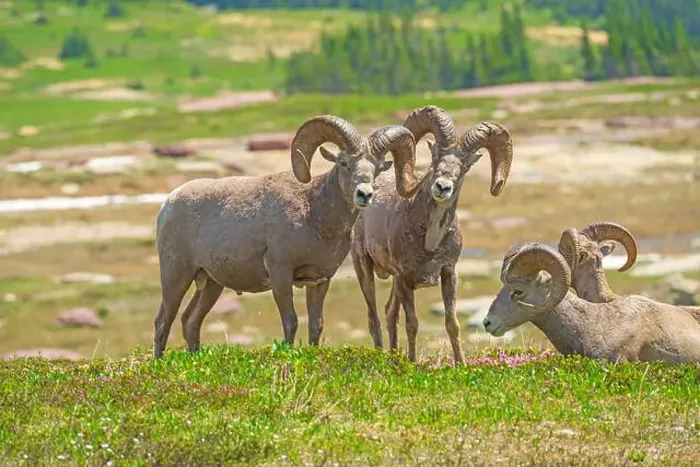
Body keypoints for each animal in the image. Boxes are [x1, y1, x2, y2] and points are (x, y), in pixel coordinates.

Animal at [153, 115, 423, 358]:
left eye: (377, 169)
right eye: (344, 163)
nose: (364, 194)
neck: (314, 213)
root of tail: (168, 204)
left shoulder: (320, 280)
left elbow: (316, 325)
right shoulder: (280, 274)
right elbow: (291, 322)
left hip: (210, 284)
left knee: (190, 322)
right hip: (176, 277)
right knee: (162, 323)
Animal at [351, 105, 513, 363]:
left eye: (465, 166)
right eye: (436, 156)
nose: (442, 187)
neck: (430, 241)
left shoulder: (448, 273)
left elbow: (452, 323)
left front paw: (461, 364)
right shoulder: (405, 278)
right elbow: (412, 324)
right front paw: (412, 363)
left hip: (392, 282)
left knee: (389, 313)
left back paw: (394, 358)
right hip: (364, 268)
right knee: (374, 317)